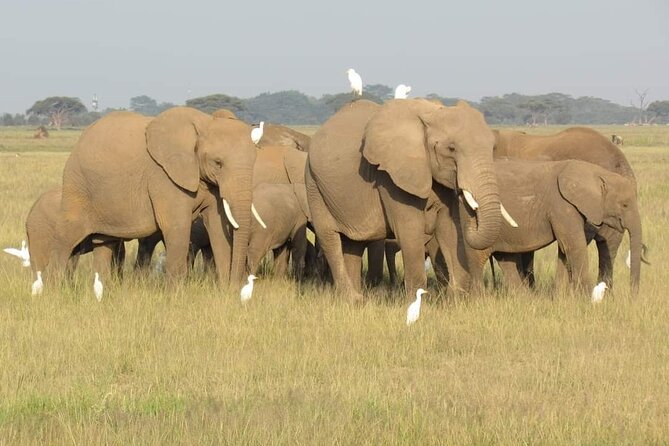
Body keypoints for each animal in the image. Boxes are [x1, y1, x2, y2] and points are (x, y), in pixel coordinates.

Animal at [50, 107, 260, 287]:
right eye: (218, 163)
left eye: (254, 162)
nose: (238, 284)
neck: (204, 122)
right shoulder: (163, 176)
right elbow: (177, 227)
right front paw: (175, 295)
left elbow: (217, 227)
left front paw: (225, 292)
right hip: (77, 186)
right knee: (67, 237)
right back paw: (55, 290)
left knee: (104, 242)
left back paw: (103, 290)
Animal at [306, 99, 507, 302]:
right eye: (451, 149)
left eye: (493, 149)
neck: (431, 115)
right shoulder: (389, 178)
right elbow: (410, 231)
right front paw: (417, 303)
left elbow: (449, 227)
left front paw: (456, 300)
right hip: (314, 185)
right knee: (329, 238)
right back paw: (353, 300)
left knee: (353, 243)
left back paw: (357, 297)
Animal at [436, 159, 643, 295]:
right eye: (625, 205)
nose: (632, 296)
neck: (596, 172)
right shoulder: (562, 205)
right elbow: (574, 246)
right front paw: (587, 299)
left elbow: (564, 249)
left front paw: (562, 298)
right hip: (471, 216)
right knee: (478, 259)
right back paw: (480, 301)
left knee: (506, 259)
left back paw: (523, 300)